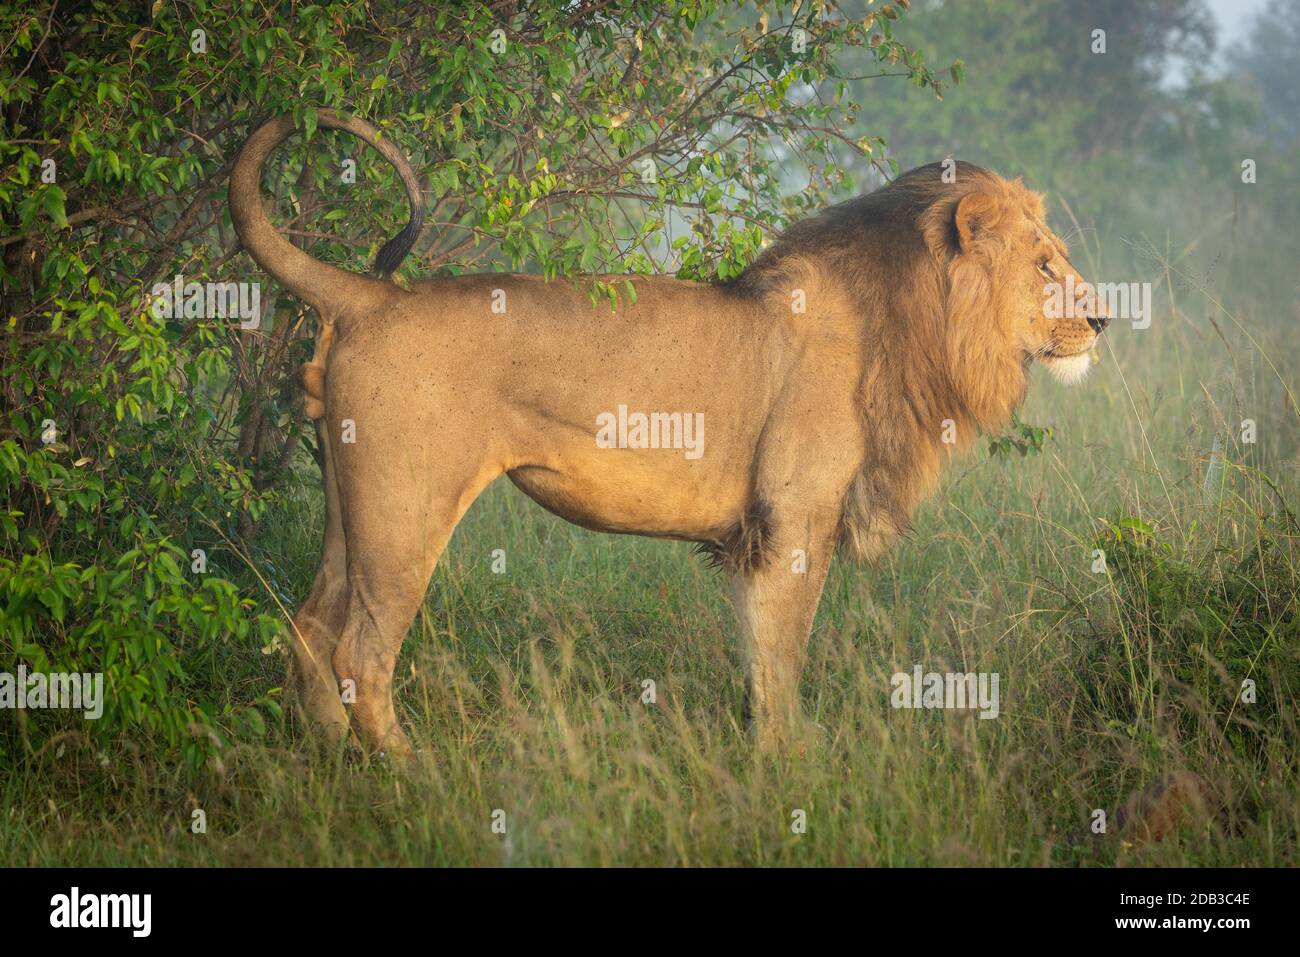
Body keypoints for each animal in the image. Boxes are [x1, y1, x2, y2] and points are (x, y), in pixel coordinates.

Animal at [229, 110, 1109, 759]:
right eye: (1043, 264)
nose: (1102, 318)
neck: (912, 320)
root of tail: (371, 295)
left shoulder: (754, 536)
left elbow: (759, 657)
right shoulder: (795, 522)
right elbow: (783, 657)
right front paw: (792, 766)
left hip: (350, 511)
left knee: (308, 632)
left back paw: (336, 765)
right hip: (406, 511)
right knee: (360, 652)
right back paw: (412, 775)